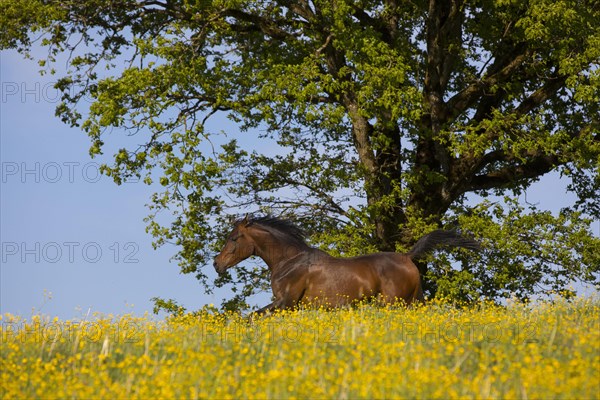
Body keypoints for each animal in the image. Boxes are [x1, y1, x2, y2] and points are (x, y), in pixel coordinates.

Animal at [213, 216, 480, 312]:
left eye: (234, 238)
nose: (217, 264)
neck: (289, 261)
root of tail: (407, 256)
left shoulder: (285, 302)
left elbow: (250, 318)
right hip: (413, 300)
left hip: (393, 302)